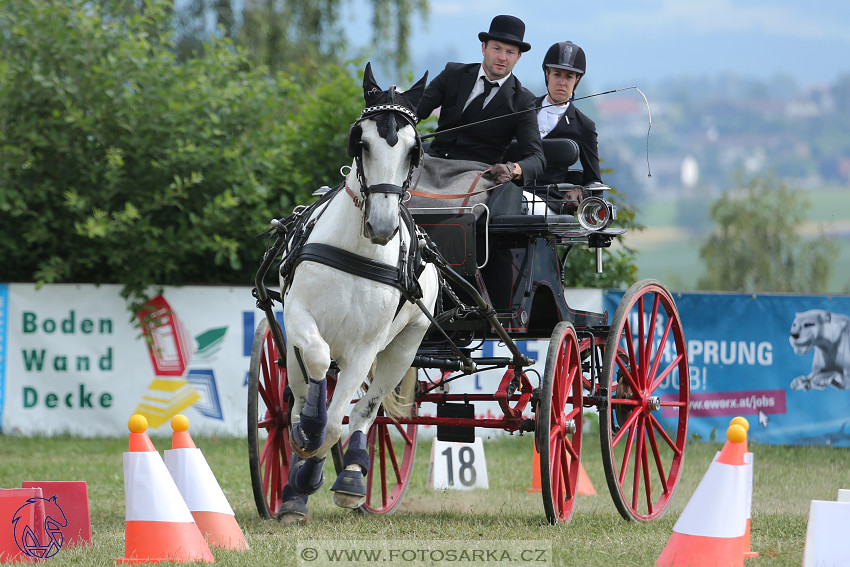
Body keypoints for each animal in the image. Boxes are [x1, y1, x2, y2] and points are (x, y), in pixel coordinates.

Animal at [276, 64, 438, 520]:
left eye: (413, 150)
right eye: (360, 141)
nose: (382, 226)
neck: (356, 252)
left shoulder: (367, 348)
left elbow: (337, 422)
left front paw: (318, 475)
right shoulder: (298, 316)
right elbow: (316, 366)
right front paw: (304, 450)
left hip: (404, 347)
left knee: (368, 410)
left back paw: (350, 476)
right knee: (299, 397)